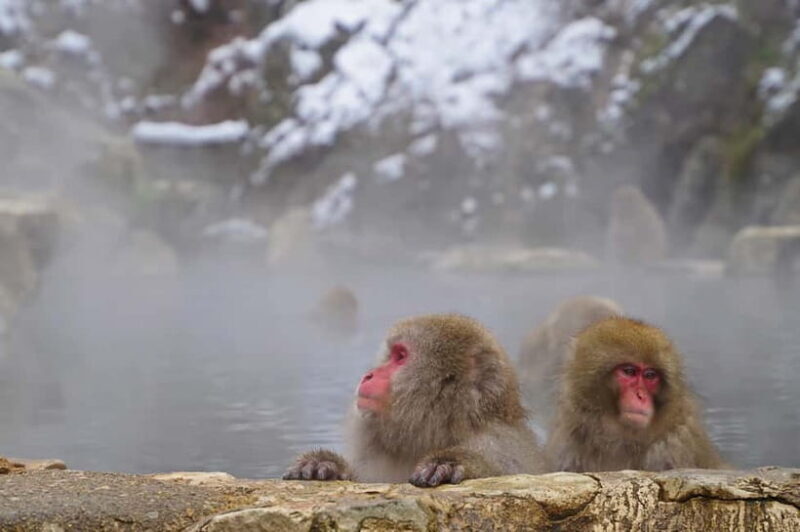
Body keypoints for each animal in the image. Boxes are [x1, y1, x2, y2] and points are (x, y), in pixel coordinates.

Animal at [283, 314, 550, 487]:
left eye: (401, 356)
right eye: (390, 355)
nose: (369, 375)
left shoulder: (500, 447)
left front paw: (450, 464)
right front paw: (326, 465)